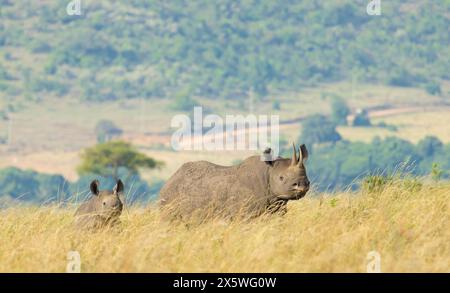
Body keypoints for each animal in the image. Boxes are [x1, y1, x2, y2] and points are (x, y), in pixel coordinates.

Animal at [159, 143, 310, 218]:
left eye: (307, 177)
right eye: (281, 178)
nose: (302, 185)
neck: (268, 172)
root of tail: (170, 179)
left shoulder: (277, 207)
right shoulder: (245, 213)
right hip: (169, 196)